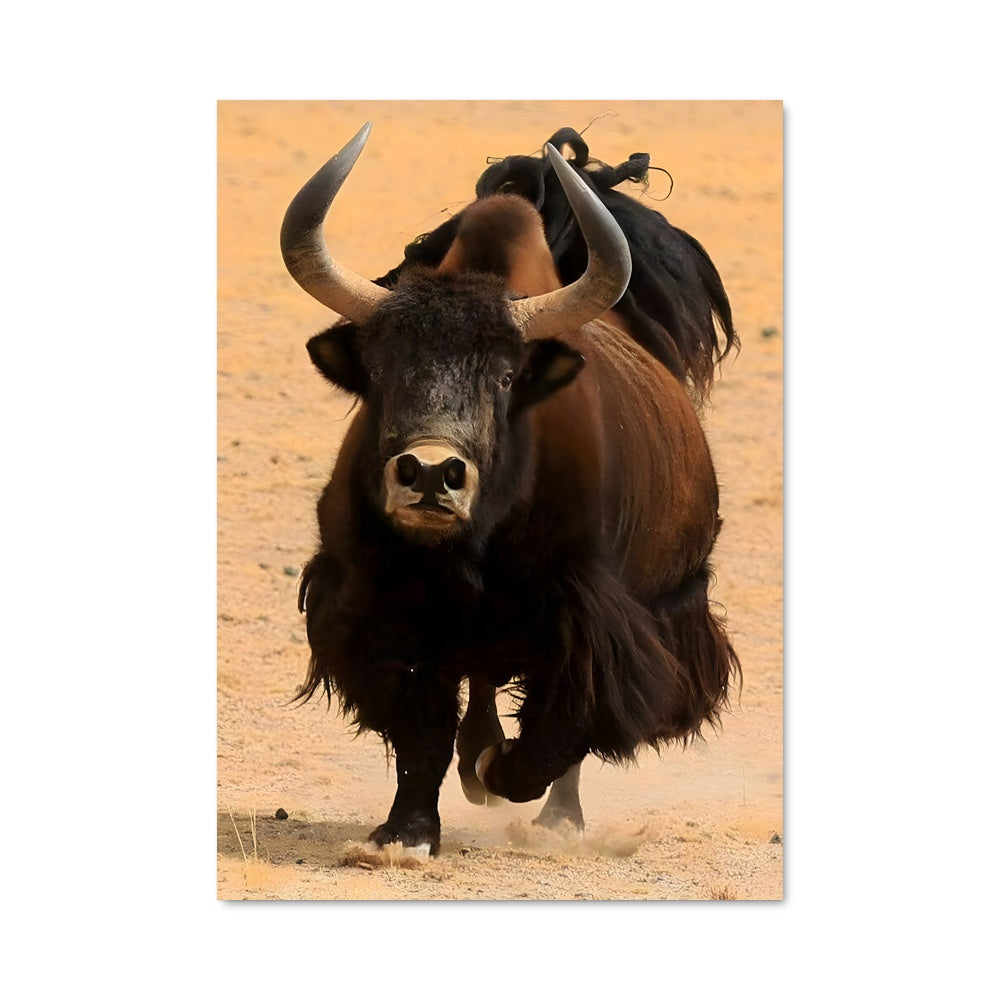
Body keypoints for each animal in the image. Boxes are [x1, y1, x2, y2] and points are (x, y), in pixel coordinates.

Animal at [282, 122, 741, 856]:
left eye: (503, 375)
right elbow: (421, 729)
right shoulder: (376, 607)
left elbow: (556, 734)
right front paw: (406, 835)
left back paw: (551, 813)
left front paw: (499, 775)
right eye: (378, 372)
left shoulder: (591, 619)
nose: (430, 473)